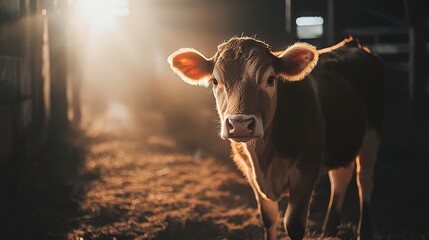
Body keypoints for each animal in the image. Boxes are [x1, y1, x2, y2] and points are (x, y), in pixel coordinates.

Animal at [168, 36, 384, 240]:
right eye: (215, 81)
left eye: (271, 79)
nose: (240, 124)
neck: (264, 159)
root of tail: (352, 43)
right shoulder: (250, 172)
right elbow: (269, 218)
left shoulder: (307, 168)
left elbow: (293, 225)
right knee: (341, 175)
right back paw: (329, 231)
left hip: (372, 134)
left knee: (364, 179)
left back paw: (364, 232)